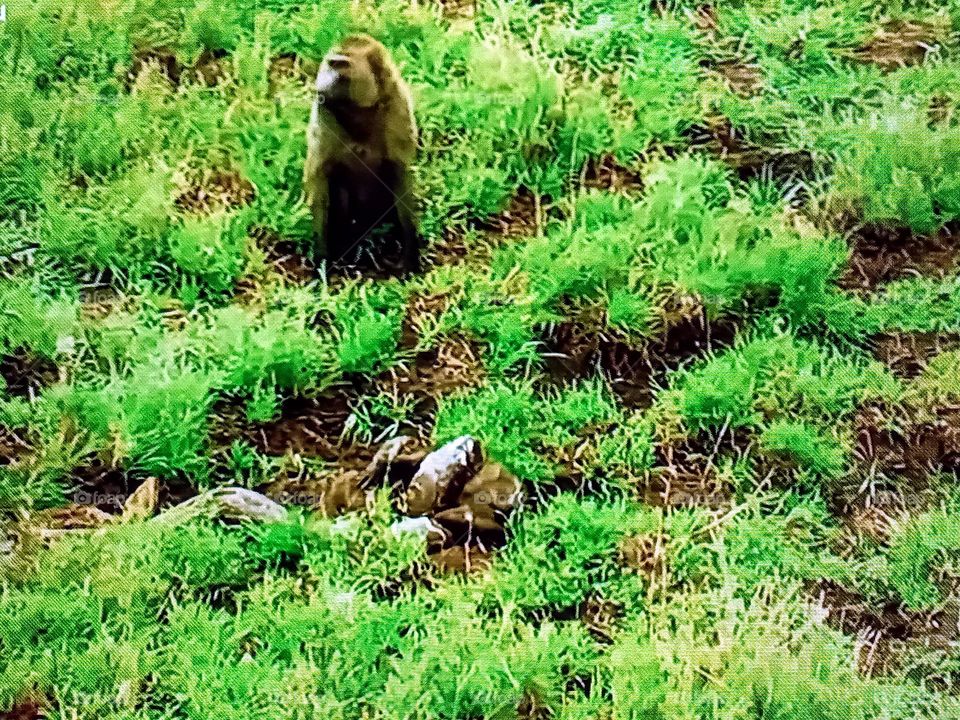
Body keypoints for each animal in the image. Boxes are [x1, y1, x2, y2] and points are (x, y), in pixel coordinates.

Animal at [303, 34, 421, 273]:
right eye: (330, 63)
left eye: (341, 65)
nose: (322, 82)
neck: (362, 109)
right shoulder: (324, 110)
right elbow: (319, 180)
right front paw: (323, 258)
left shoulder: (396, 105)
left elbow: (400, 175)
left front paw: (409, 253)